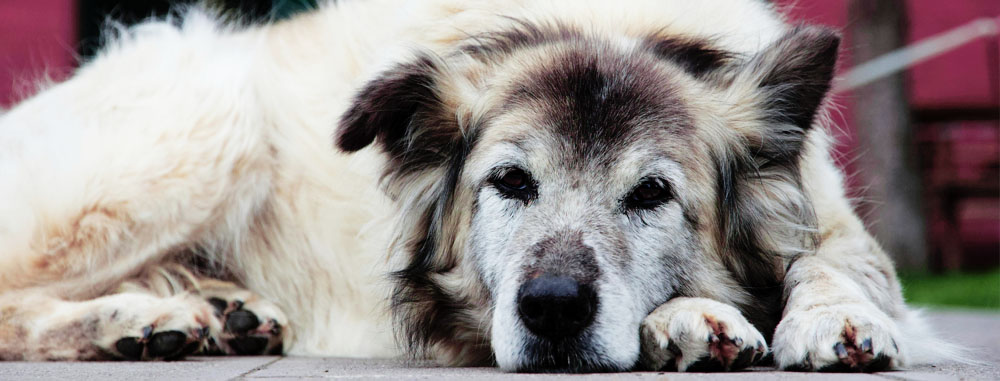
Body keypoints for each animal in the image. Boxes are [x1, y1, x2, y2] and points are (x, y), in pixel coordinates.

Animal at [0, 0, 956, 372]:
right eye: (509, 181)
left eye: (651, 194)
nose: (554, 308)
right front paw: (693, 316)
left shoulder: (834, 224)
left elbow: (832, 263)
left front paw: (836, 319)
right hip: (213, 113)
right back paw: (135, 320)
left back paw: (213, 310)